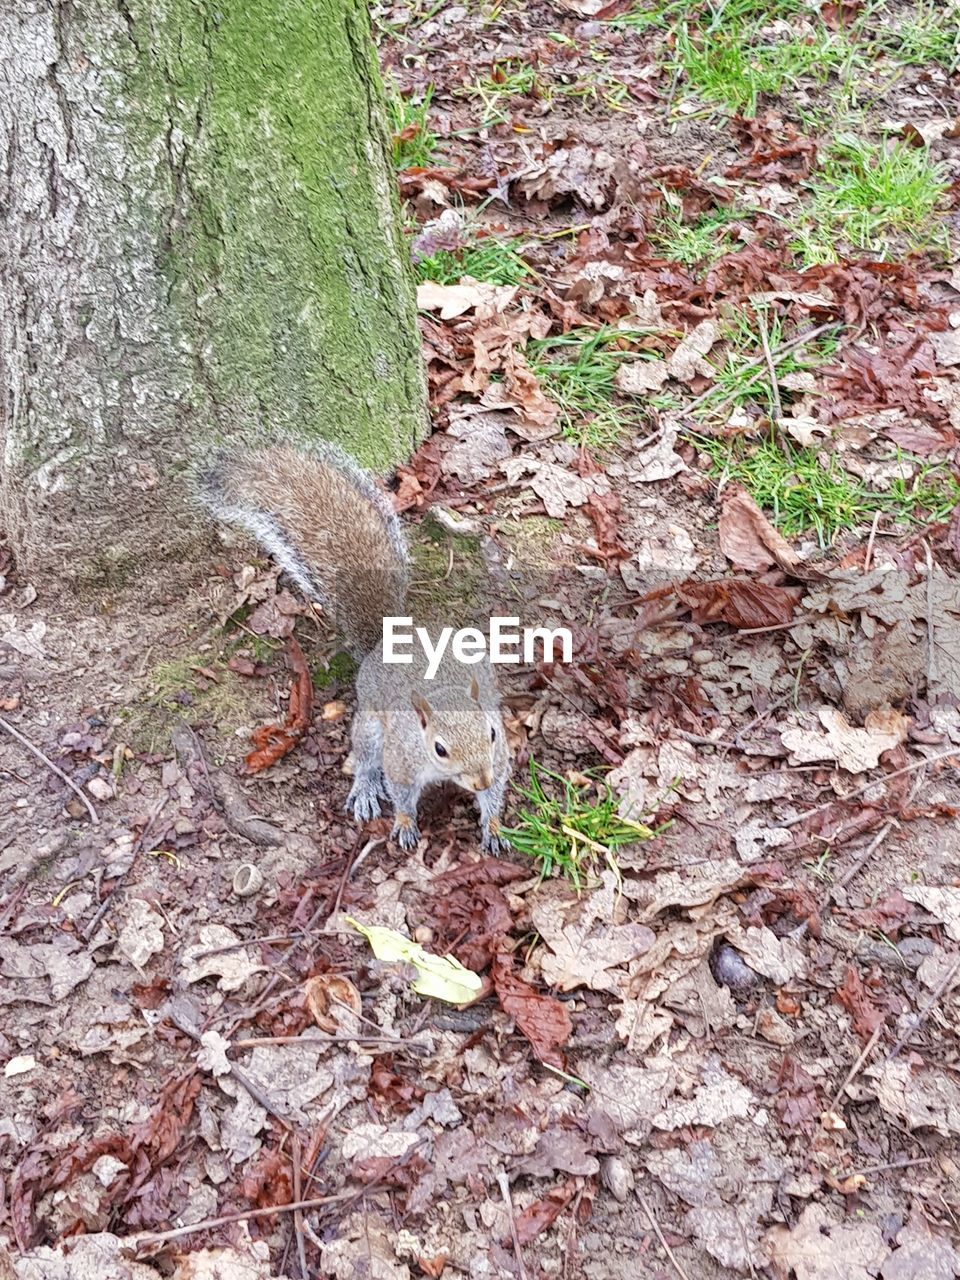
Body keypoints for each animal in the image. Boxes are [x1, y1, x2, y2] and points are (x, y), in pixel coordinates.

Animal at [197, 445, 512, 855]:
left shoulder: (499, 758)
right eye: (440, 749)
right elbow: (400, 792)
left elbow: (496, 794)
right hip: (370, 727)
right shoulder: (400, 758)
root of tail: (390, 639)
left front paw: (493, 825)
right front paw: (404, 822)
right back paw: (364, 789)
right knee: (364, 757)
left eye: (491, 733)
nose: (480, 780)